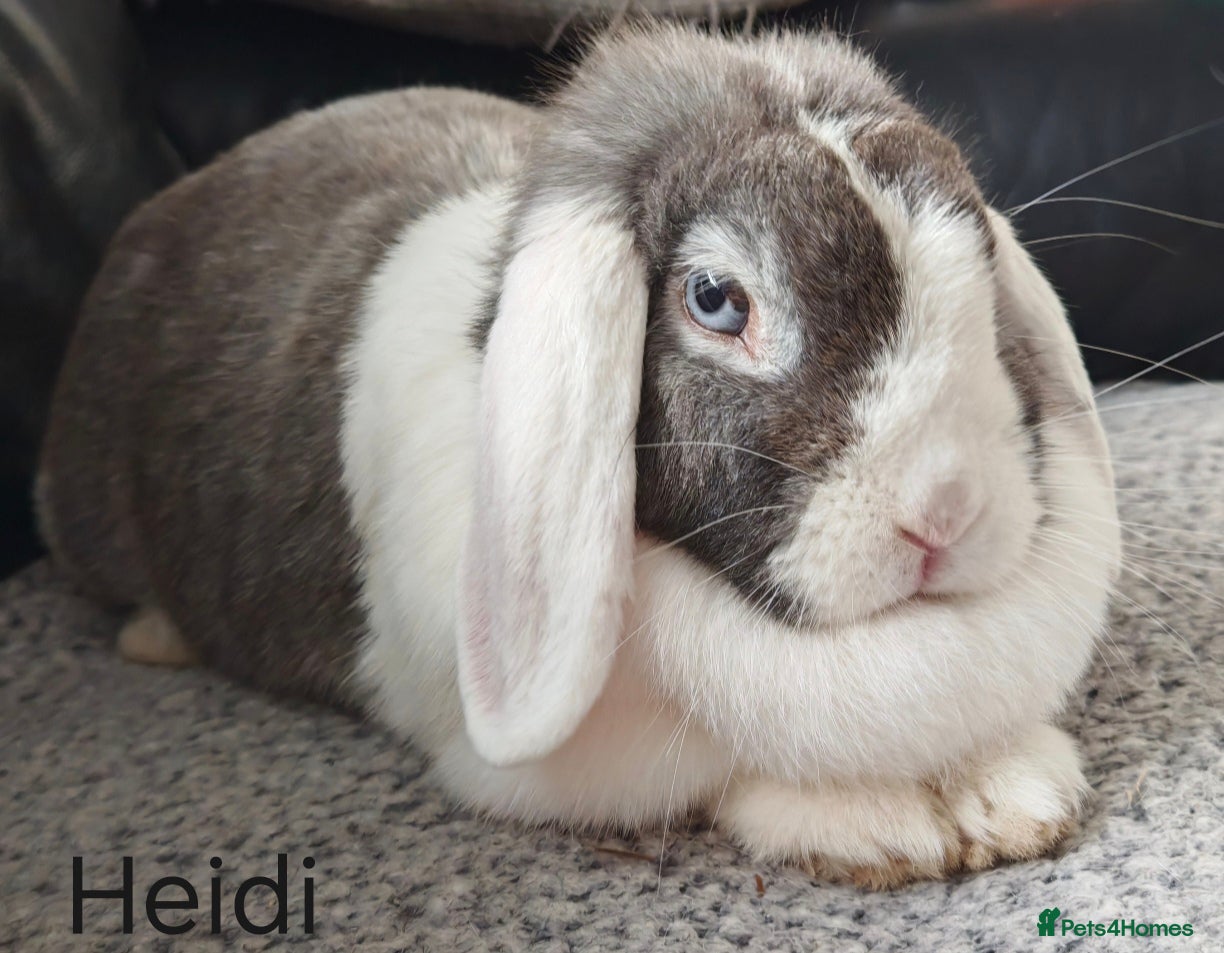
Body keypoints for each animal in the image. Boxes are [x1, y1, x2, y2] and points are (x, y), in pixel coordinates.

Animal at [37, 23, 1121, 888]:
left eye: (981, 258)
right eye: (717, 300)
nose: (944, 511)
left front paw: (1012, 794)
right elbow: (732, 771)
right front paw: (888, 823)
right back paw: (156, 636)